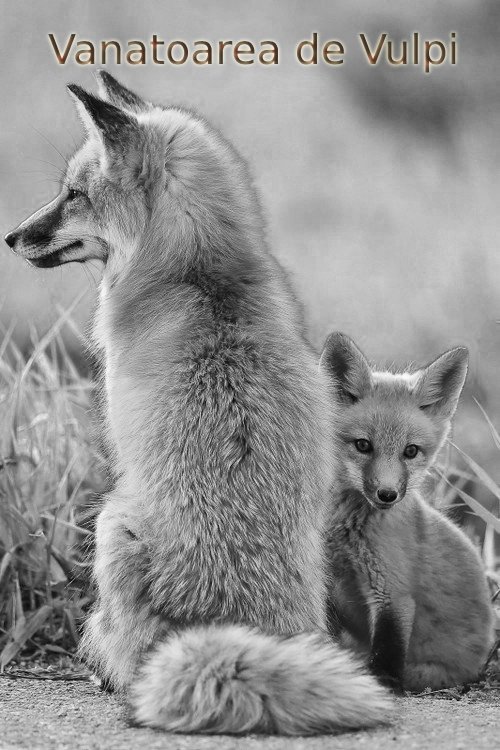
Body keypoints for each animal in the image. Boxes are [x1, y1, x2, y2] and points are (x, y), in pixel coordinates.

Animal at [4, 74, 392, 734]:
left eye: (74, 195)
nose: (11, 237)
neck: (206, 280)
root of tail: (232, 624)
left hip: (111, 522)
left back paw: (112, 678)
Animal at [320, 332, 494, 693]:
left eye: (410, 451)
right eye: (363, 445)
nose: (387, 495)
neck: (348, 535)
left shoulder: (393, 593)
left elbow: (386, 656)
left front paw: (380, 687)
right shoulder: (327, 582)